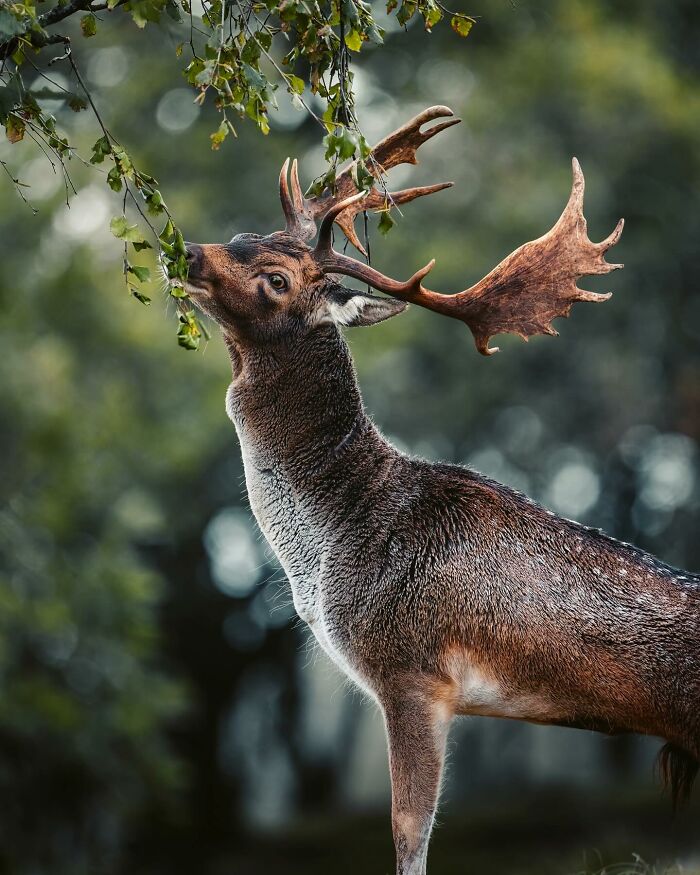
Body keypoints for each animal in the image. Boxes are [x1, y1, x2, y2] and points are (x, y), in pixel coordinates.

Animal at [178, 106, 700, 875]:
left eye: (275, 277)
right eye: (244, 234)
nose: (188, 252)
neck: (333, 538)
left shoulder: (413, 670)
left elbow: (409, 829)